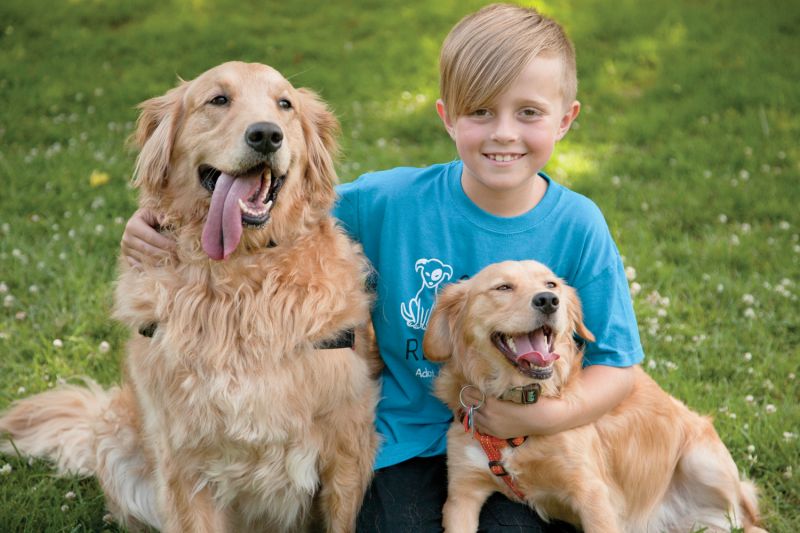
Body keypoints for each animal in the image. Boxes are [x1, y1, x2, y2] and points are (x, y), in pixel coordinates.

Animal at [0, 60, 380, 528]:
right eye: (218, 99)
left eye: (285, 104)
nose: (266, 135)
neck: (240, 278)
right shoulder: (184, 464)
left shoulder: (346, 451)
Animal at [422, 260, 764, 528]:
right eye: (502, 287)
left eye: (551, 284)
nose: (548, 300)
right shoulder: (462, 495)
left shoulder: (593, 495)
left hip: (702, 462)